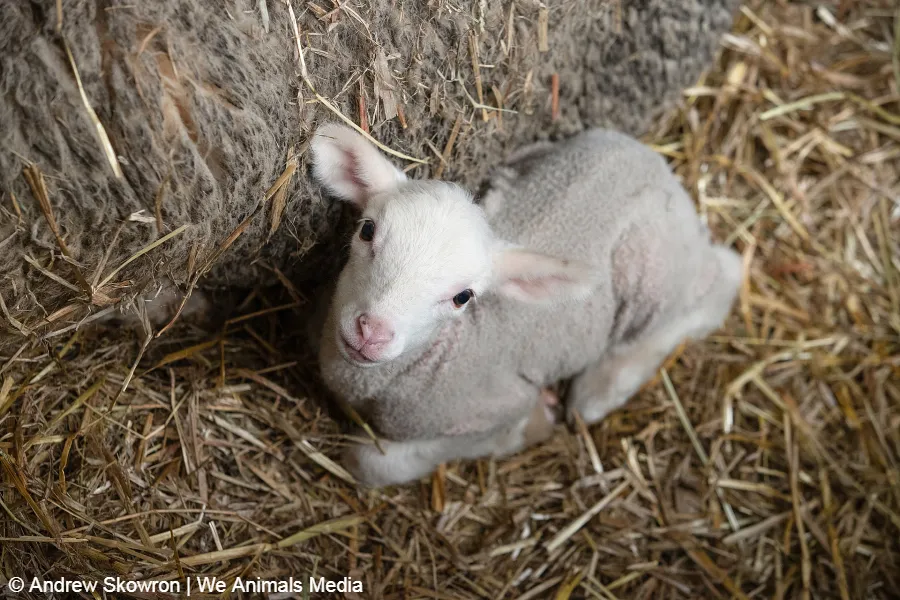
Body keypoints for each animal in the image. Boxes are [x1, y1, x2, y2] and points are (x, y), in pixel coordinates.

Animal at [310, 122, 743, 488]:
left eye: (463, 297)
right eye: (367, 231)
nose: (372, 332)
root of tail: (656, 163)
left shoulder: (492, 410)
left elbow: (370, 462)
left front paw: (532, 424)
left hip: (656, 267)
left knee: (716, 284)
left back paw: (600, 388)